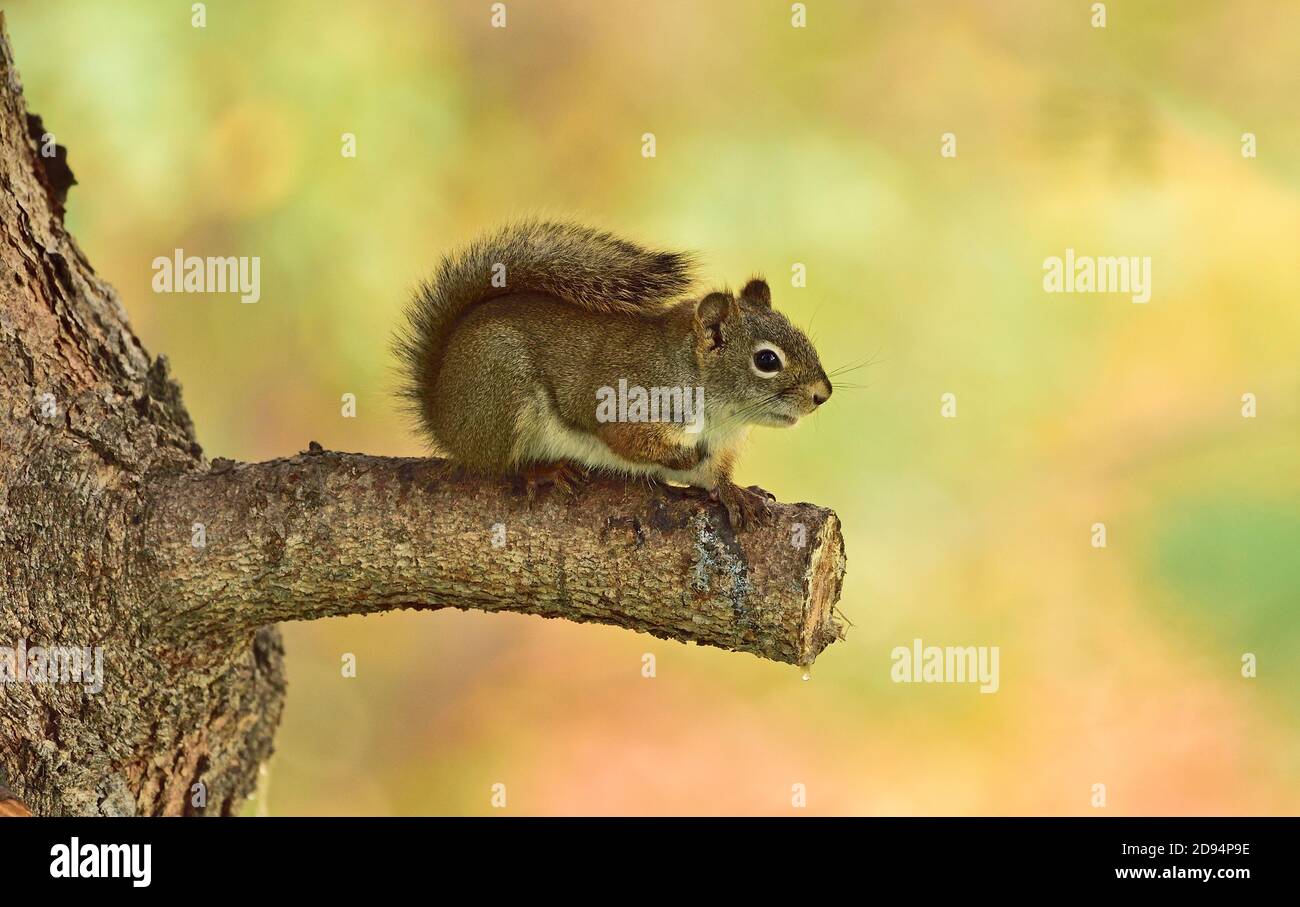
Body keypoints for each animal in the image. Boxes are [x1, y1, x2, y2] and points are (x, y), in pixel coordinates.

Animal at [390, 219, 832, 527]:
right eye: (767, 360)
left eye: (804, 338)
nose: (822, 394)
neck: (720, 411)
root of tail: (441, 411)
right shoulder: (625, 401)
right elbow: (626, 440)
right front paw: (682, 456)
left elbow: (713, 476)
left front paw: (735, 493)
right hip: (501, 390)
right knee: (495, 465)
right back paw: (542, 470)